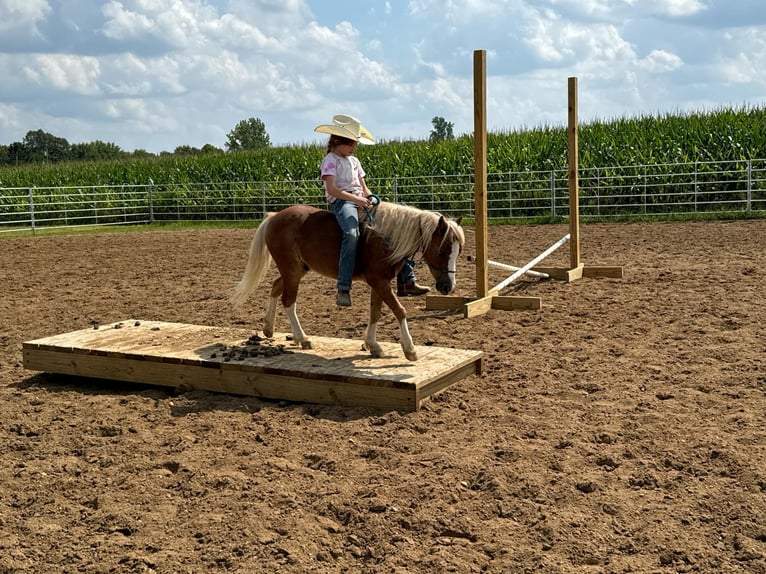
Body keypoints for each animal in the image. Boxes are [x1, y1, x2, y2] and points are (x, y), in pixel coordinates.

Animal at [230, 201, 464, 361]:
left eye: (458, 251)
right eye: (442, 251)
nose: (448, 287)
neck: (384, 239)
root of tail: (275, 216)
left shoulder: (380, 284)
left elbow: (375, 312)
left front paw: (373, 345)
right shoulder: (379, 282)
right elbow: (400, 311)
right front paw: (409, 349)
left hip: (297, 269)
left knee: (276, 287)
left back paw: (270, 329)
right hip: (292, 269)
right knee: (289, 301)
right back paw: (303, 338)